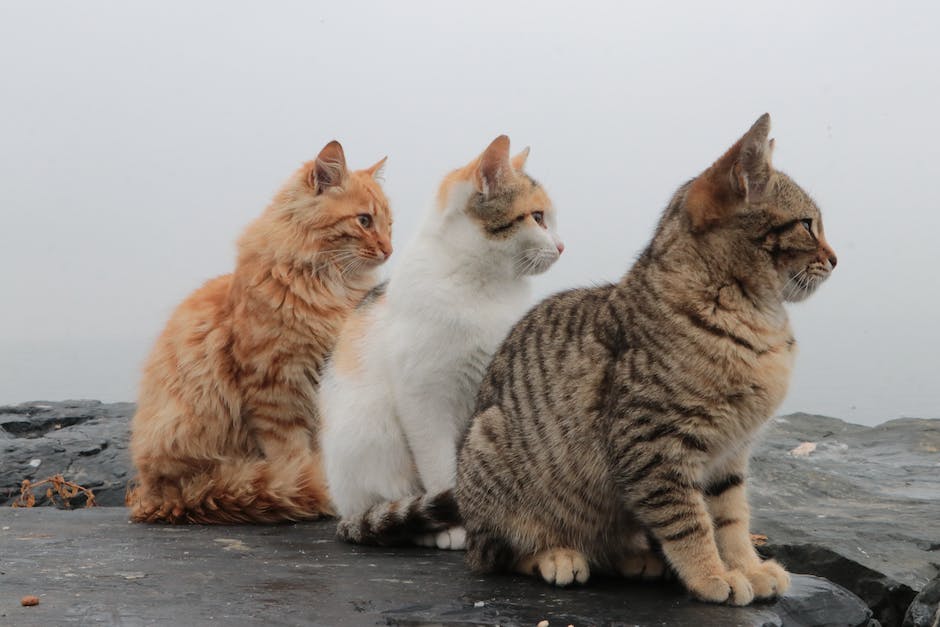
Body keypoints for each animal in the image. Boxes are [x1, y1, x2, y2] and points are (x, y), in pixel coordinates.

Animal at [126, 141, 392, 524]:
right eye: (365, 220)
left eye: (390, 224)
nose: (389, 249)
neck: (329, 288)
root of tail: (149, 496)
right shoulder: (275, 387)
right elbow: (291, 457)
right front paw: (310, 483)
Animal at [320, 134, 560, 548]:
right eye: (538, 217)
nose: (562, 246)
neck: (485, 287)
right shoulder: (424, 396)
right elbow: (440, 467)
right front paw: (455, 526)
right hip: (371, 434)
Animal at [454, 114, 836, 608]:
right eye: (808, 225)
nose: (835, 258)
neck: (754, 318)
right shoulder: (653, 445)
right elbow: (689, 522)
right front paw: (713, 574)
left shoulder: (730, 457)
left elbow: (731, 521)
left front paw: (746, 566)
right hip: (490, 453)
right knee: (497, 552)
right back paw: (558, 555)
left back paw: (633, 557)